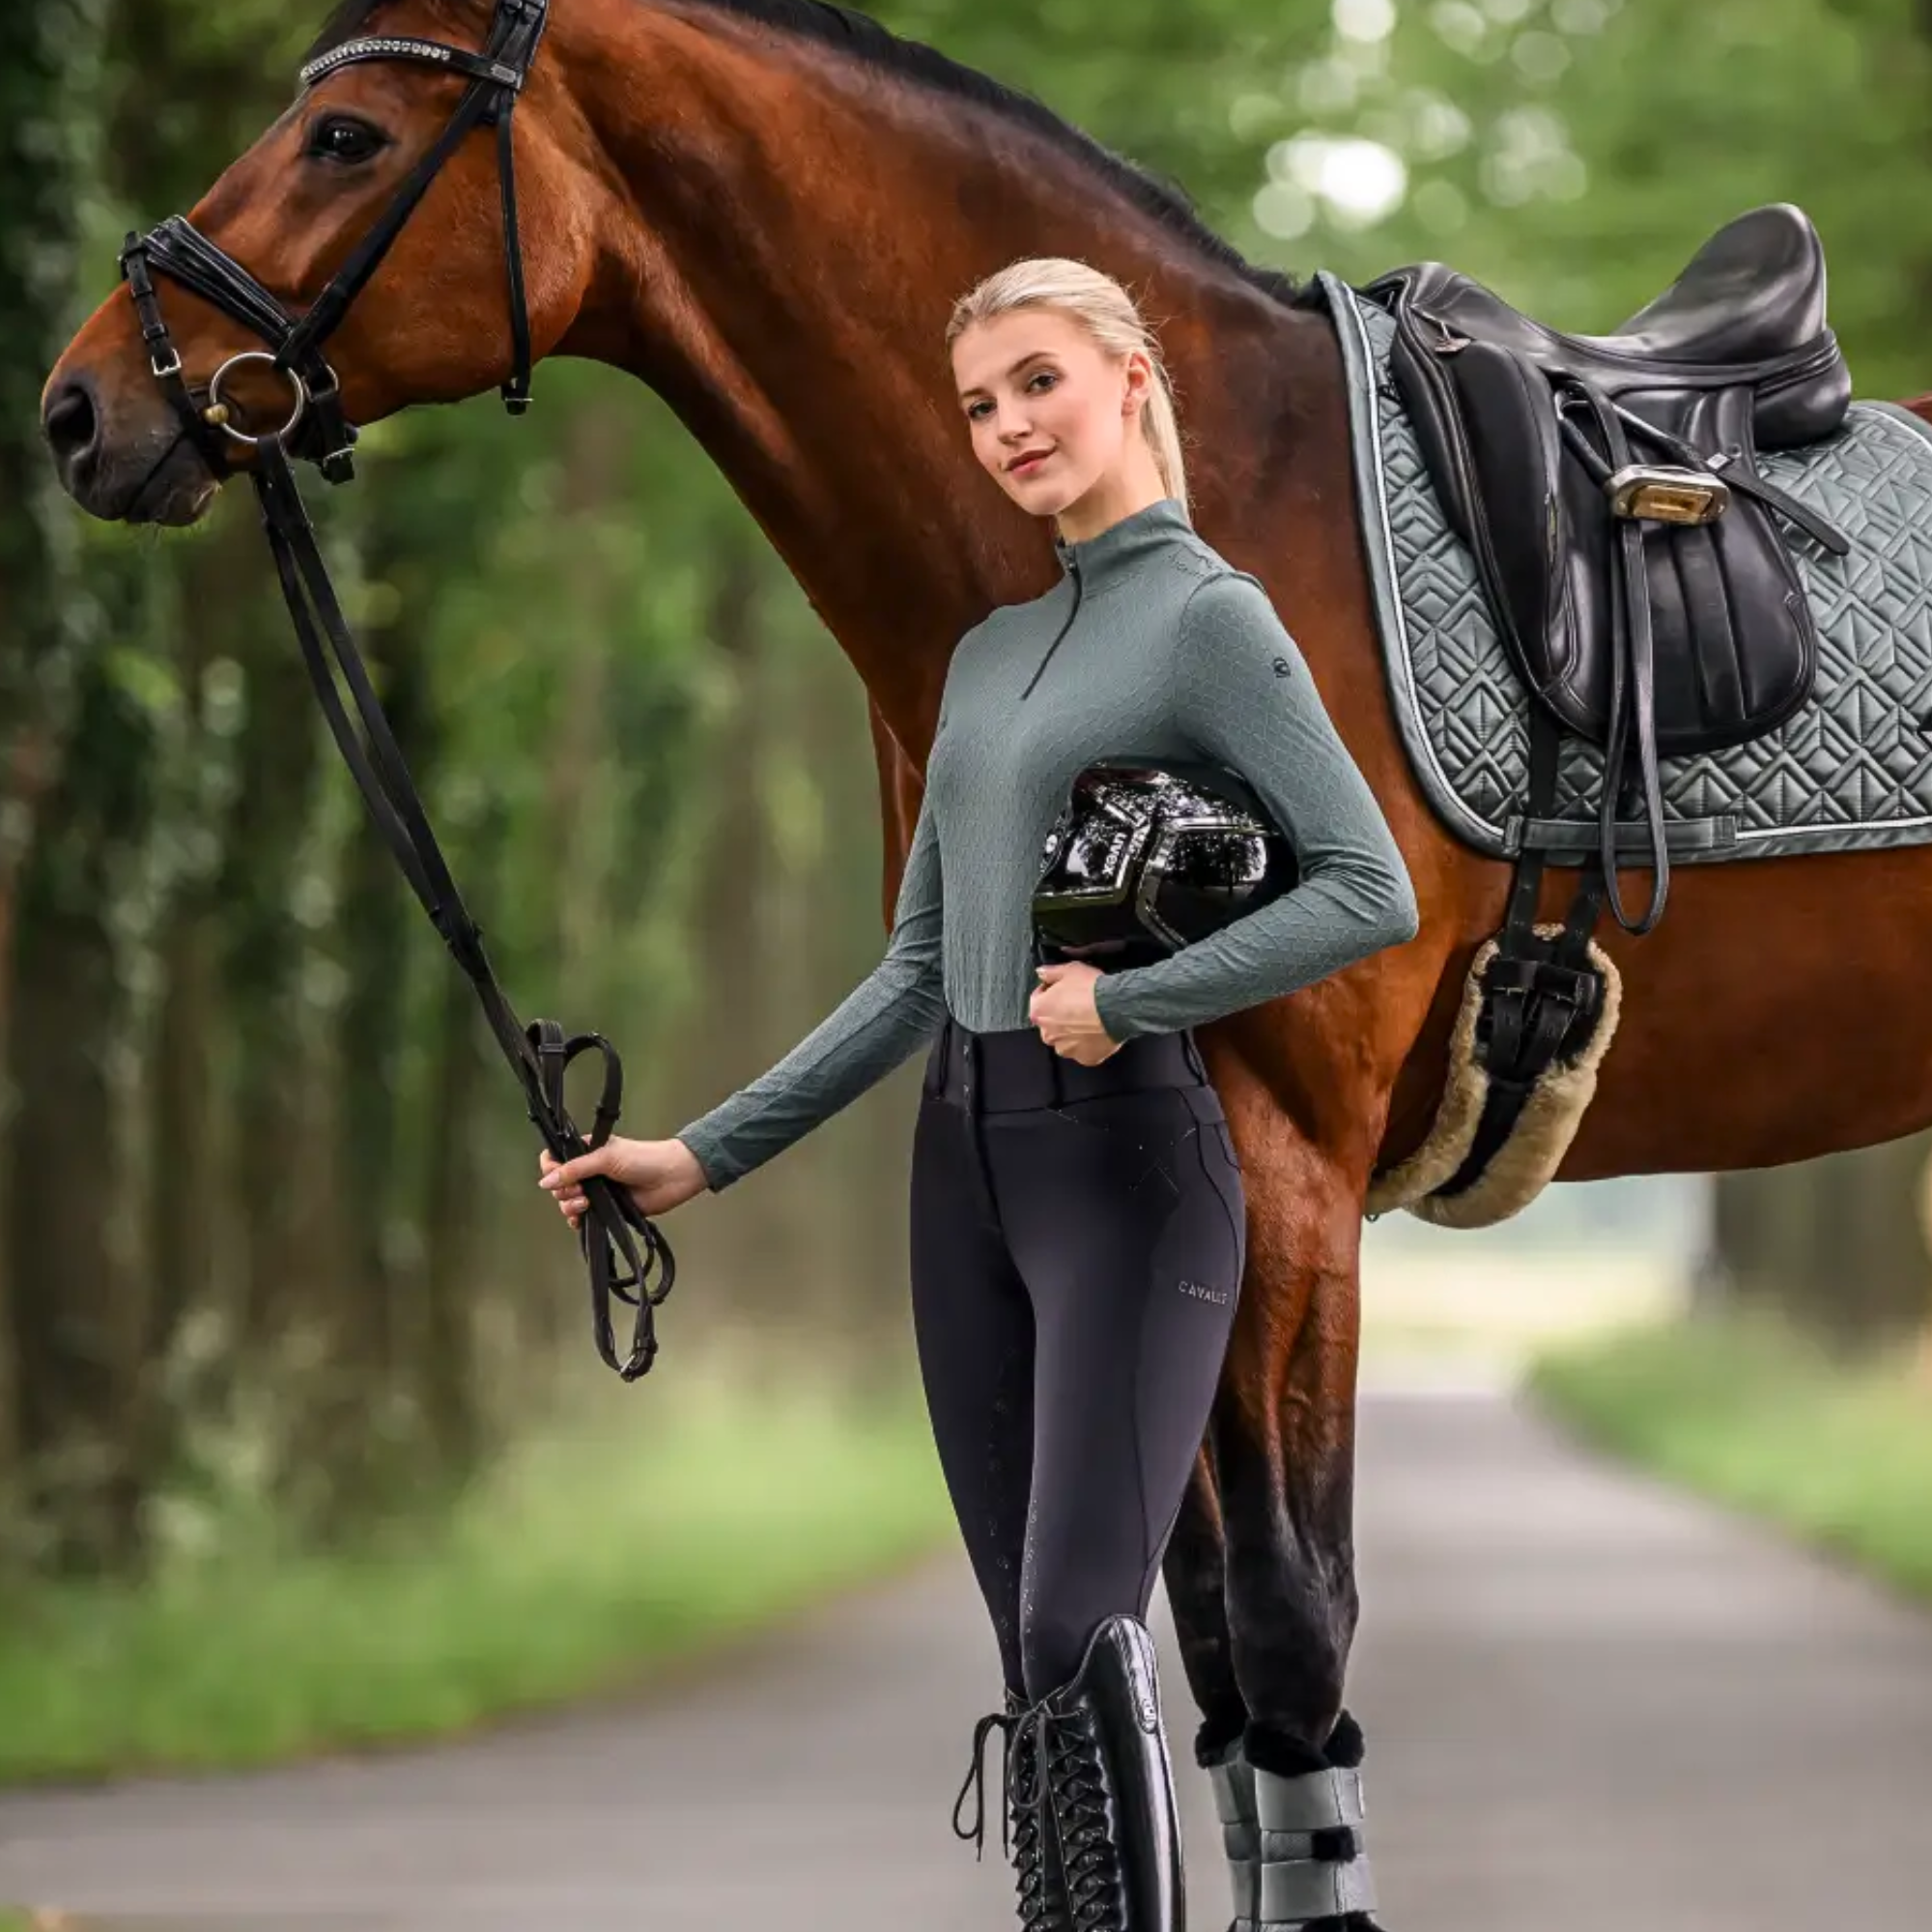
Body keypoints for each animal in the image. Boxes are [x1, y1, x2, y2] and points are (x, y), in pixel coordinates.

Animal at [40, 0, 1932, 1910]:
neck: (1231, 500)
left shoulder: (1288, 1176)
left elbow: (1288, 1647)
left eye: (348, 135)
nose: (80, 408)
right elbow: (1200, 1669)